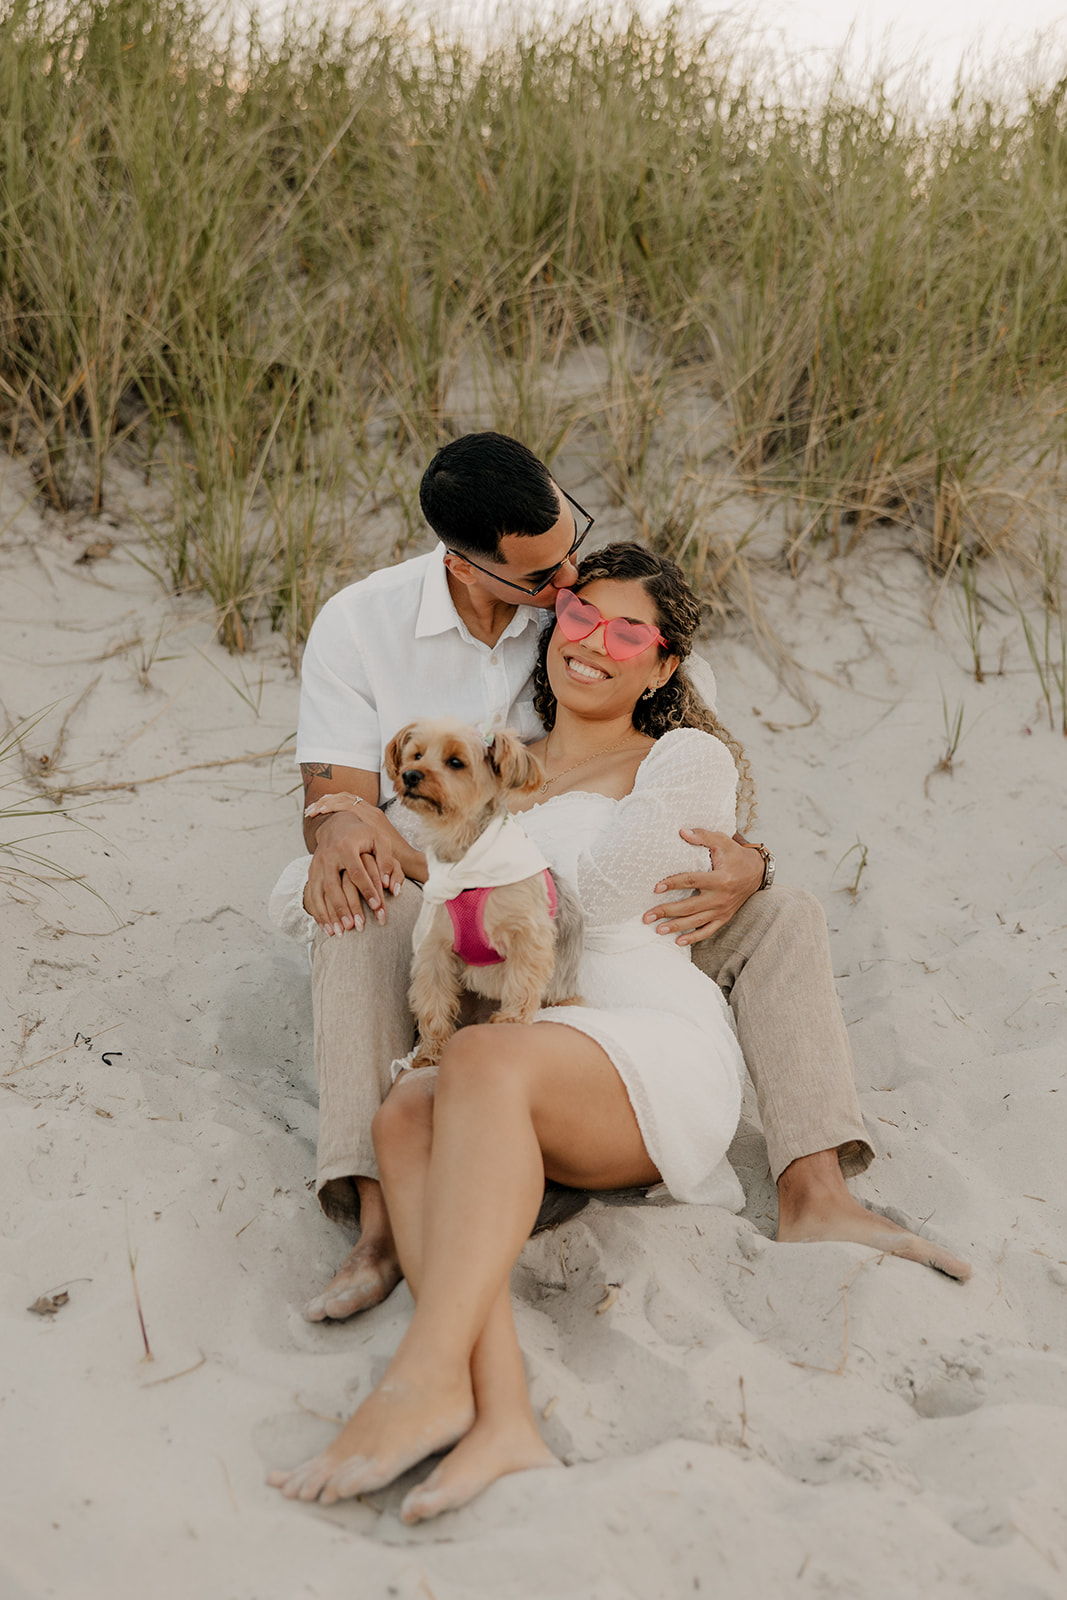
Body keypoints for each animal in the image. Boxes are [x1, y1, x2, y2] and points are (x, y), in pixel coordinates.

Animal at [383, 720, 585, 1068]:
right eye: (416, 755)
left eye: (455, 762)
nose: (410, 775)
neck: (465, 865)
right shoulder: (434, 946)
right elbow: (432, 998)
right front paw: (431, 1052)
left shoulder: (527, 935)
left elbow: (521, 978)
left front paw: (511, 1021)